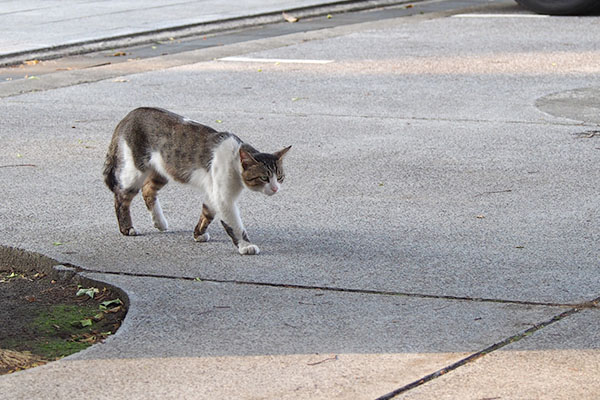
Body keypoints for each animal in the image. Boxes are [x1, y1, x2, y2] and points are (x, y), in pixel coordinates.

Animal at [102, 107, 290, 256]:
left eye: (280, 177)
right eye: (264, 177)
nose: (275, 188)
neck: (234, 159)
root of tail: (131, 114)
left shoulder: (213, 192)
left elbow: (207, 212)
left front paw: (198, 233)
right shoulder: (223, 198)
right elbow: (235, 224)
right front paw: (246, 246)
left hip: (162, 169)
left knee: (148, 189)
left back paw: (160, 222)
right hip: (135, 171)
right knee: (121, 196)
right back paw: (127, 228)